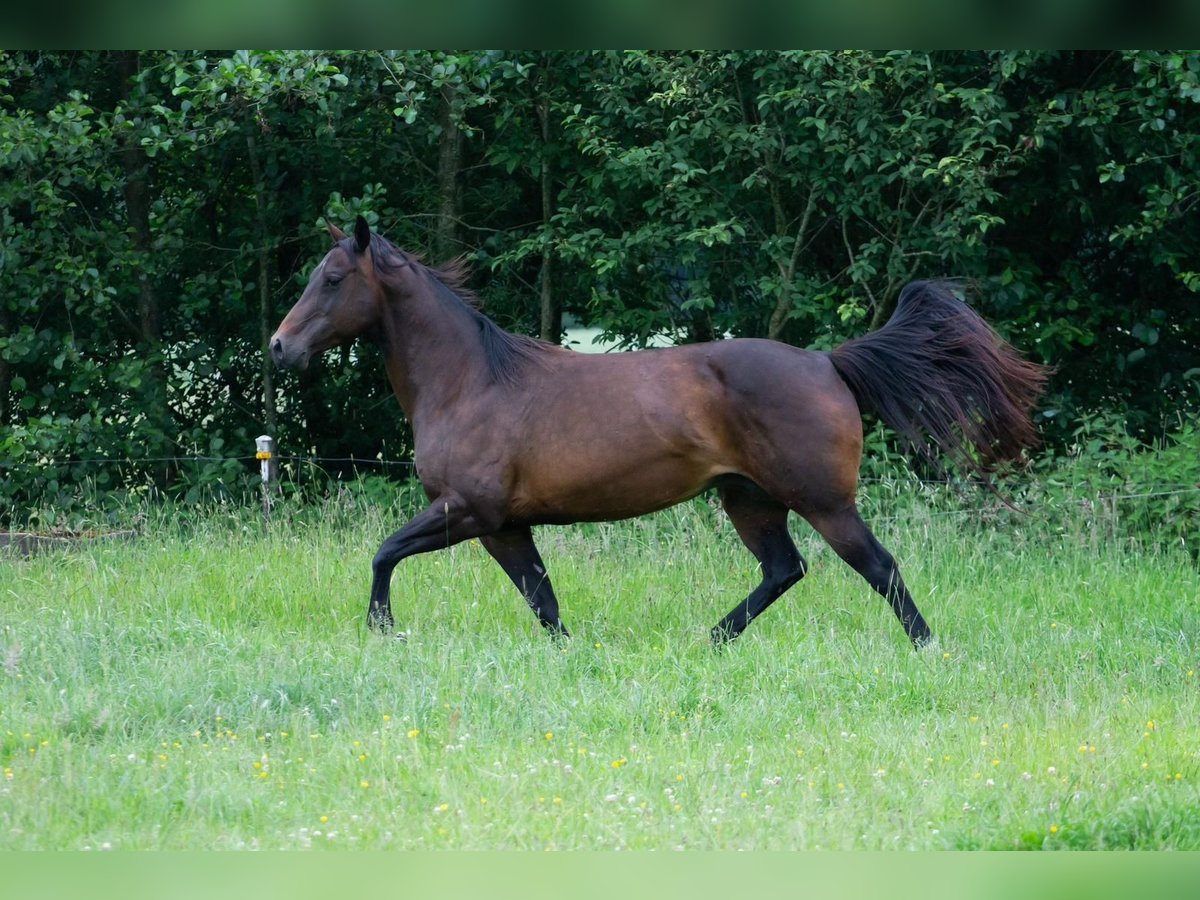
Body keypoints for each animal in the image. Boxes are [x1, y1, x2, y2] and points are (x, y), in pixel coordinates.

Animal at [272, 218, 1051, 648]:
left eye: (333, 277)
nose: (280, 348)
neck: (473, 380)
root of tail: (828, 362)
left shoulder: (471, 513)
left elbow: (384, 553)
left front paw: (381, 629)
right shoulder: (507, 525)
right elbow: (544, 601)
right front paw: (574, 657)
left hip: (823, 502)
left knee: (879, 568)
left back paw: (928, 650)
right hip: (749, 499)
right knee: (784, 570)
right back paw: (710, 640)